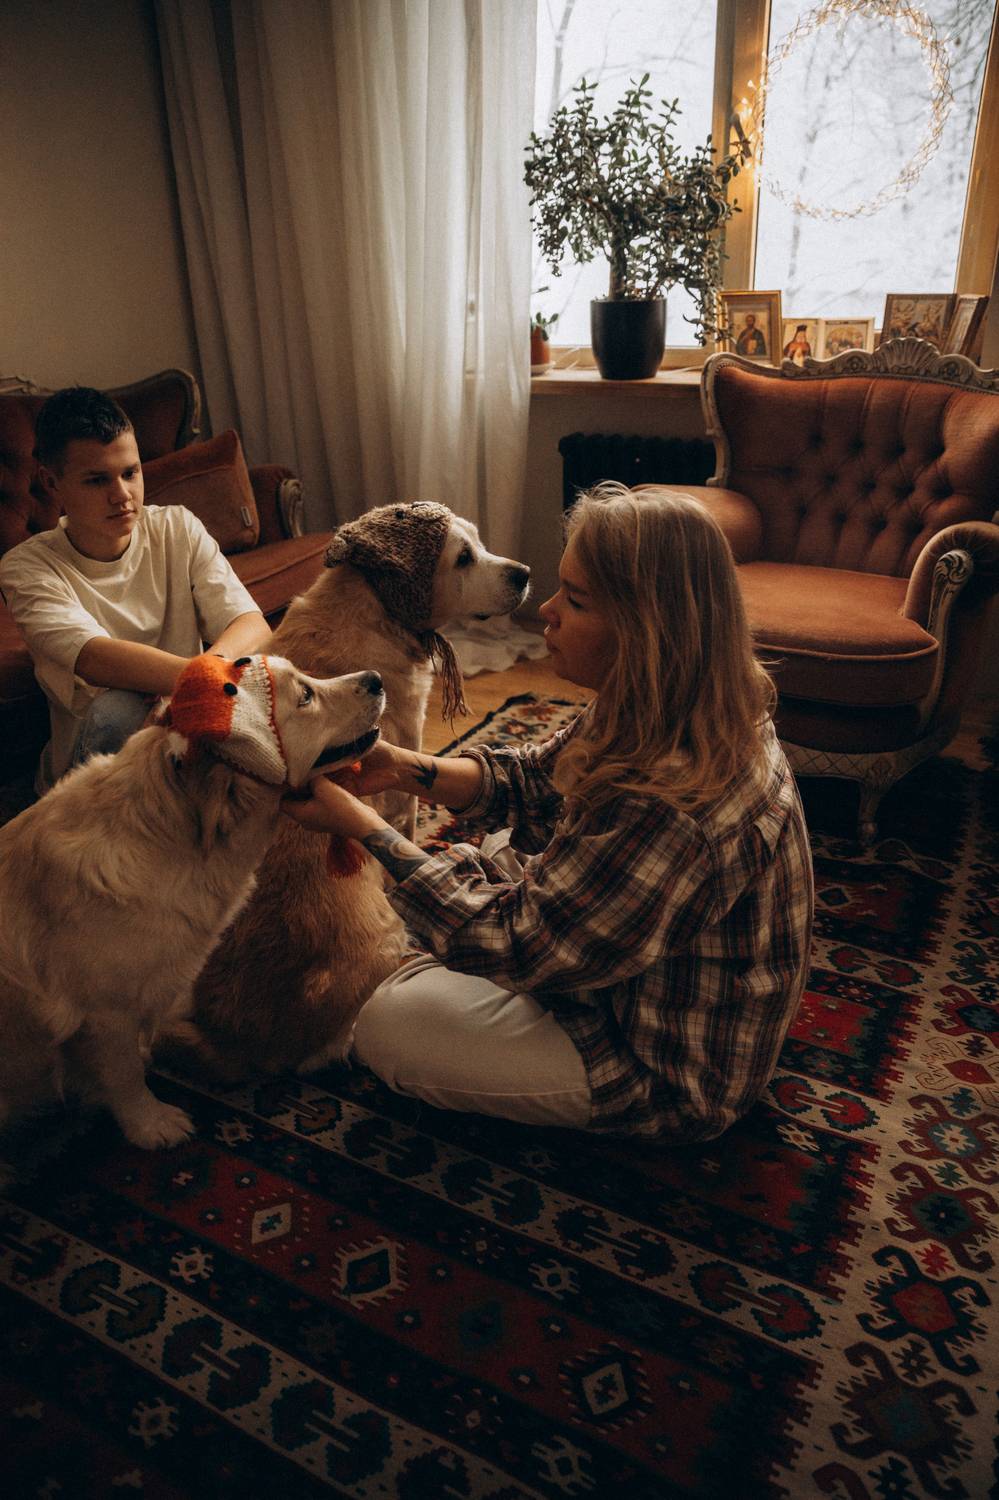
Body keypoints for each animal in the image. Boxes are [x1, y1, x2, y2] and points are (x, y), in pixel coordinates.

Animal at [0, 655, 386, 1153]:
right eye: (305, 695)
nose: (376, 679)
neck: (163, 836)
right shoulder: (104, 1014)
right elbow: (124, 1074)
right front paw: (150, 1124)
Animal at [167, 501, 531, 1081]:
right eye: (463, 557)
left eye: (479, 541)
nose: (523, 574)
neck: (373, 608)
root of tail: (237, 1041)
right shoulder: (403, 787)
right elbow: (406, 833)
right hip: (384, 939)